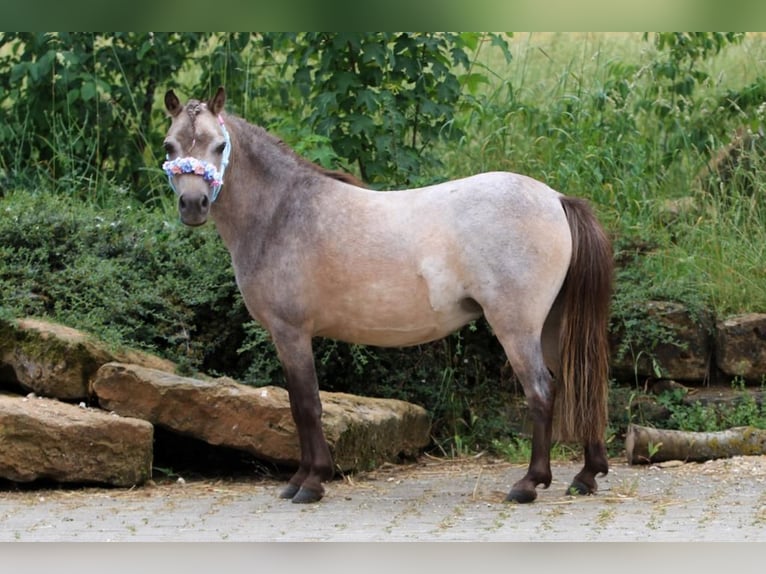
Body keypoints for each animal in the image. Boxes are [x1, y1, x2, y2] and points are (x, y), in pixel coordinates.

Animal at [164, 85, 616, 504]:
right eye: (170, 146)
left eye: (219, 146)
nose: (193, 204)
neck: (282, 213)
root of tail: (555, 198)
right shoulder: (289, 336)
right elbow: (298, 405)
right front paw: (299, 479)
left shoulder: (291, 333)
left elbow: (306, 405)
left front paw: (311, 482)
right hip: (552, 327)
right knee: (580, 383)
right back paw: (586, 476)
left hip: (518, 329)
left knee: (541, 391)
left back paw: (529, 484)